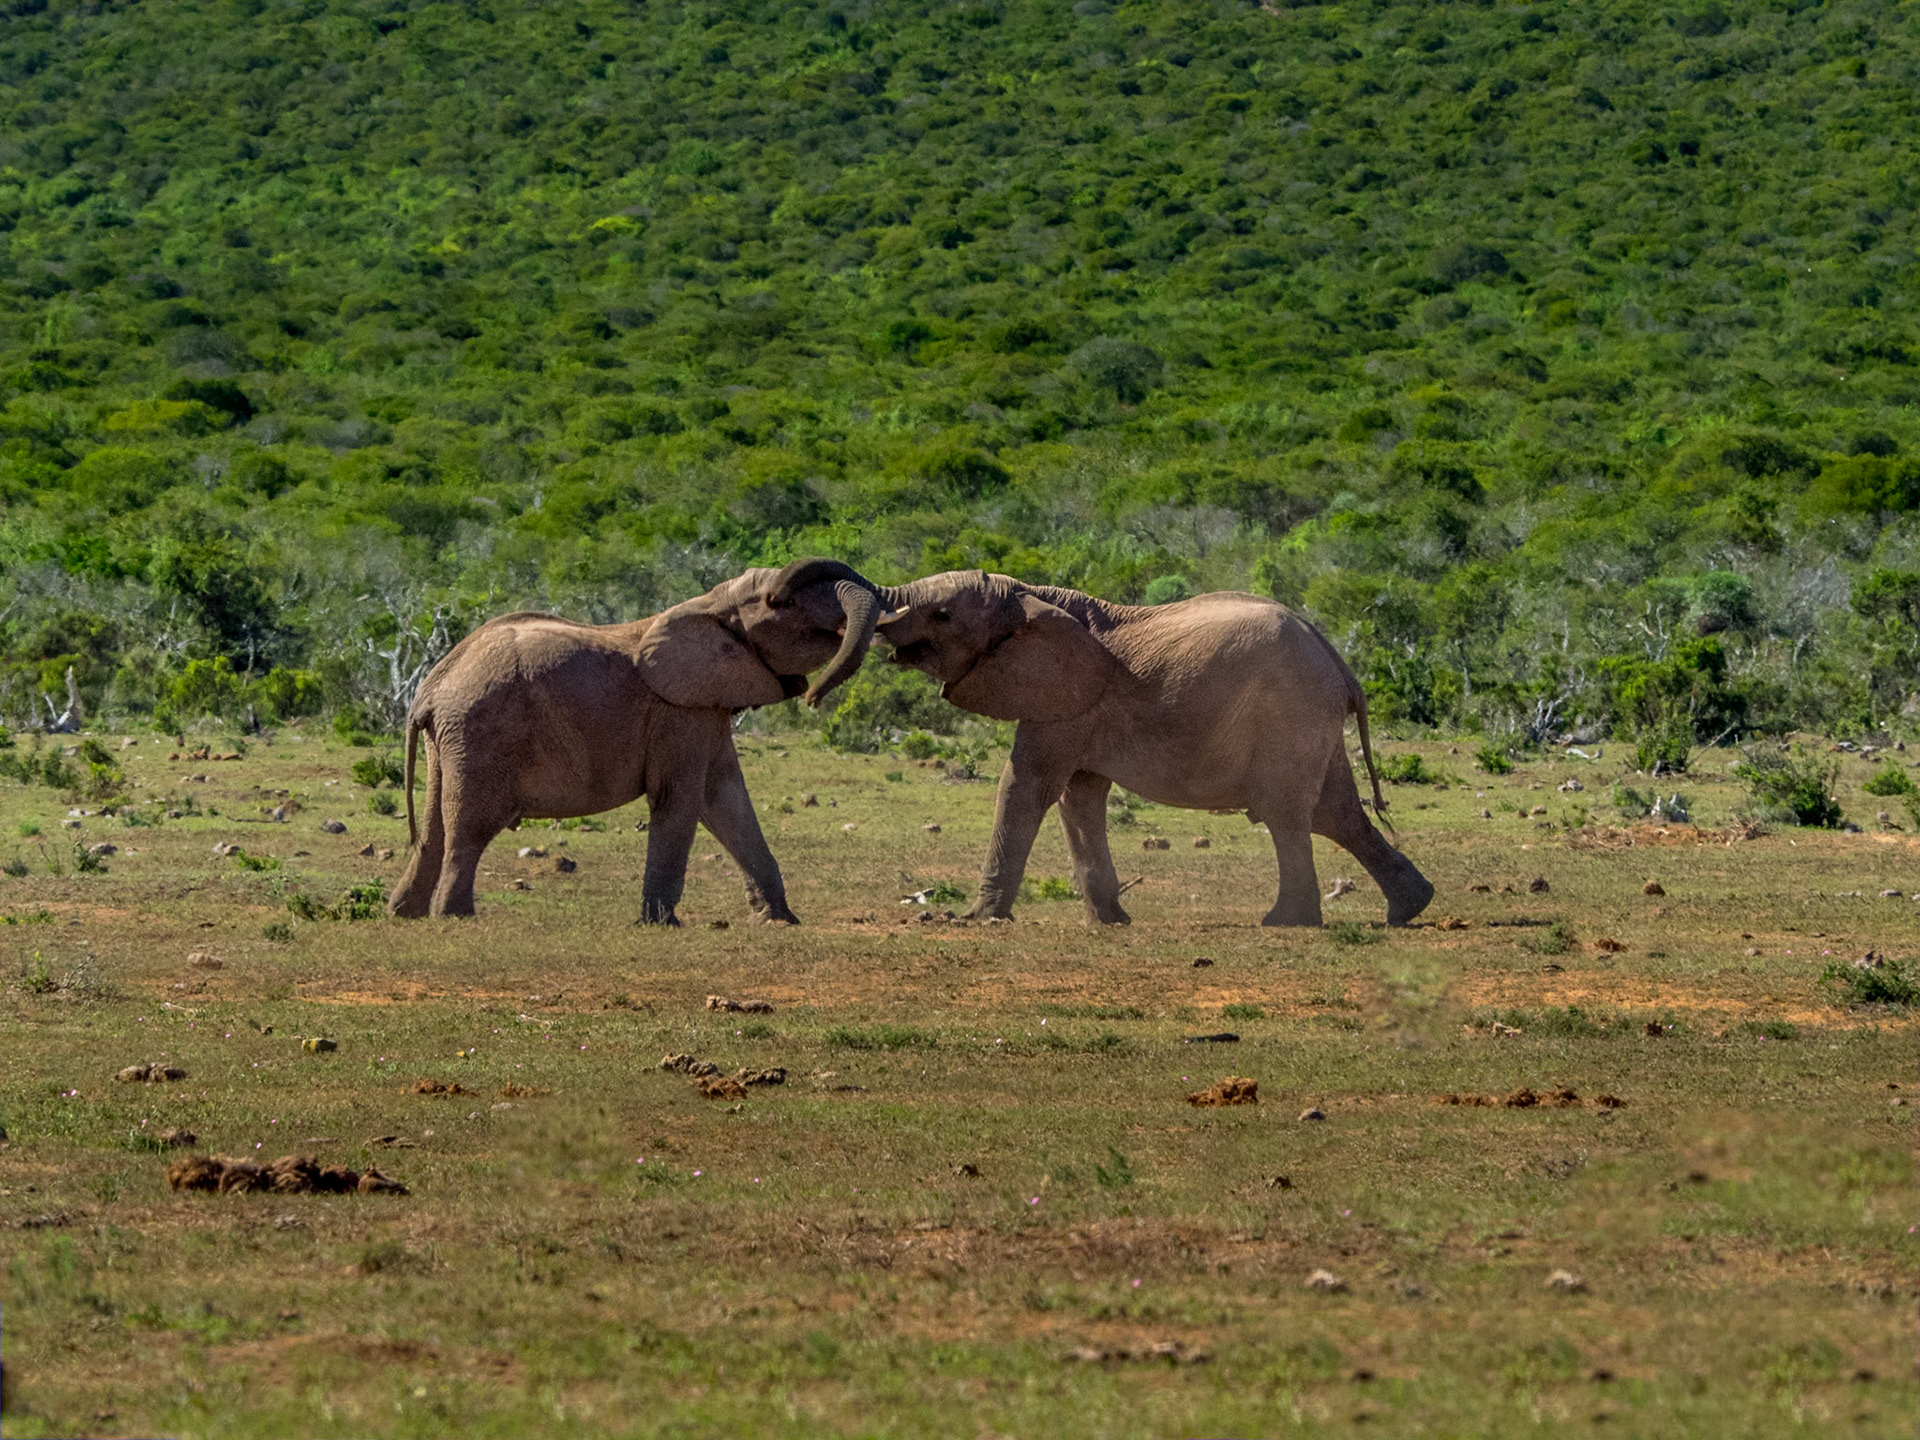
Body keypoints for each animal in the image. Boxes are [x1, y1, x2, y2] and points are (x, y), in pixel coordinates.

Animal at [387, 558, 884, 923]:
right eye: (781, 603)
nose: (815, 698)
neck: (709, 605)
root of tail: (429, 688)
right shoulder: (678, 712)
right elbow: (681, 799)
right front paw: (661, 924)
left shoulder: (704, 708)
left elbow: (725, 798)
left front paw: (778, 920)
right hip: (480, 733)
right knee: (468, 829)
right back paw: (454, 917)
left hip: (449, 742)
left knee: (432, 830)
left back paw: (403, 913)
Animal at [873, 571, 1434, 928]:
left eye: (942, 615)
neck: (1029, 595)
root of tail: (1339, 663)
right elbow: (1078, 797)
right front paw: (1111, 922)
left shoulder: (1068, 701)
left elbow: (1027, 785)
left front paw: (977, 920)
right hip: (1310, 719)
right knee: (1337, 813)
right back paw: (1410, 909)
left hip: (1289, 713)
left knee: (1288, 813)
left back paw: (1284, 922)